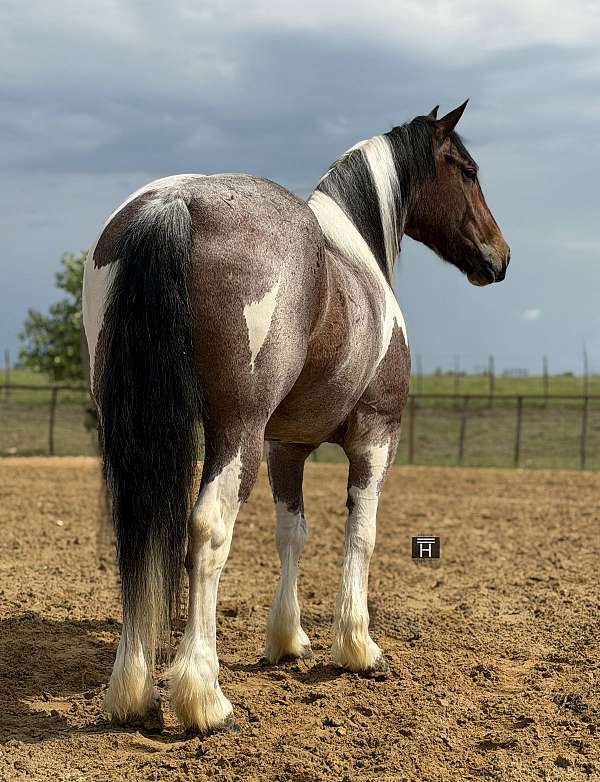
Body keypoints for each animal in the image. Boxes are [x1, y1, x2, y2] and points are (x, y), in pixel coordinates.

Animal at [82, 100, 510, 733]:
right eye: (469, 171)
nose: (499, 257)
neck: (353, 259)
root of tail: (176, 202)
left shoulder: (286, 446)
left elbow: (294, 533)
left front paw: (287, 640)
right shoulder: (376, 437)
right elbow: (362, 535)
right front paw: (357, 648)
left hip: (141, 434)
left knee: (140, 534)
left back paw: (132, 692)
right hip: (236, 433)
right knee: (207, 531)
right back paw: (204, 698)